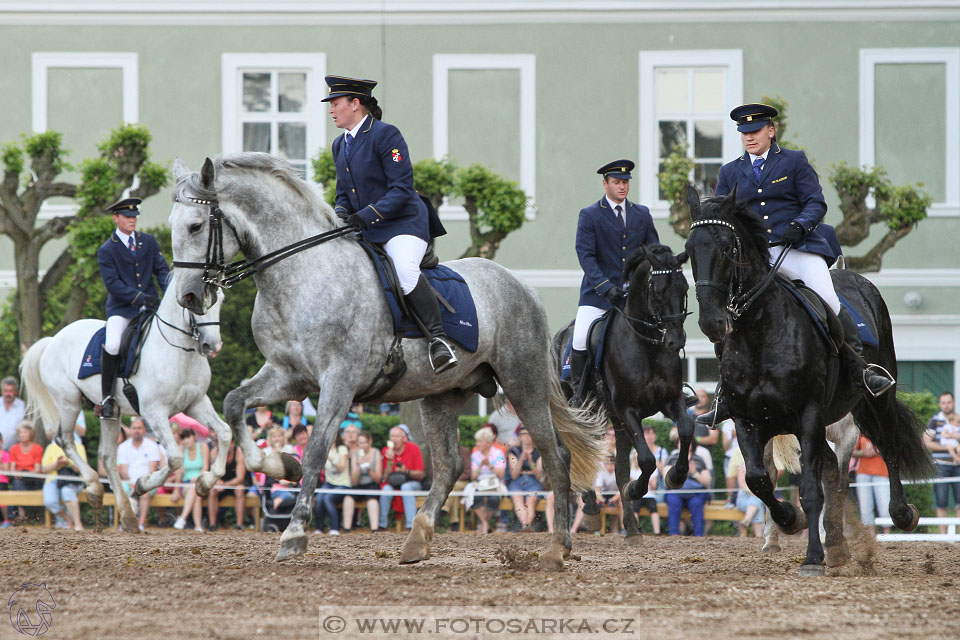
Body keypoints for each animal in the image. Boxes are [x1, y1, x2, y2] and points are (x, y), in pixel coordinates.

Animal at [20, 268, 231, 528]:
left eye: (221, 300)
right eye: (195, 302)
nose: (213, 345)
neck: (178, 352)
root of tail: (53, 340)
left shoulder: (196, 403)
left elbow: (224, 433)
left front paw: (204, 483)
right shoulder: (154, 412)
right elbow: (174, 459)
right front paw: (142, 485)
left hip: (110, 413)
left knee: (107, 456)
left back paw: (128, 515)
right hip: (69, 402)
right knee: (64, 440)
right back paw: (95, 489)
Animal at [168, 155, 604, 568]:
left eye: (195, 226)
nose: (188, 297)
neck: (303, 275)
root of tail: (523, 286)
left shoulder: (339, 381)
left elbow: (317, 449)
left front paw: (294, 532)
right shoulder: (288, 376)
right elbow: (234, 404)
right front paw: (278, 464)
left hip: (522, 382)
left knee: (556, 455)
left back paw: (557, 550)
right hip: (442, 394)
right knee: (449, 466)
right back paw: (417, 542)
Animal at [556, 245, 696, 540]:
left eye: (684, 288)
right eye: (658, 291)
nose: (675, 341)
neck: (647, 345)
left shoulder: (671, 401)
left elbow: (686, 429)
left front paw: (675, 476)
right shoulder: (627, 410)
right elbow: (646, 459)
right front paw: (636, 488)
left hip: (614, 422)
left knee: (619, 468)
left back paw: (631, 526)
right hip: (587, 414)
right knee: (583, 452)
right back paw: (591, 509)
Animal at [688, 186, 932, 576]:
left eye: (727, 247)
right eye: (690, 249)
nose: (711, 322)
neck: (761, 332)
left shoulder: (811, 416)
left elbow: (814, 489)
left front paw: (813, 557)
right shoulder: (746, 419)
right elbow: (759, 478)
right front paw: (791, 520)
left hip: (873, 401)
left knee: (888, 446)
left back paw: (900, 514)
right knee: (819, 471)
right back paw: (833, 544)